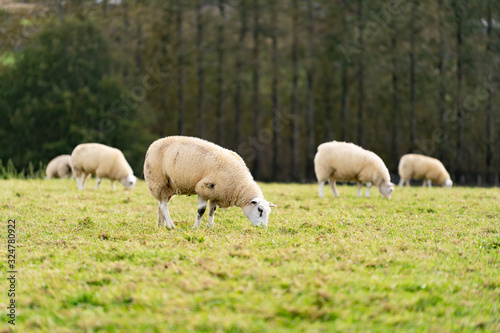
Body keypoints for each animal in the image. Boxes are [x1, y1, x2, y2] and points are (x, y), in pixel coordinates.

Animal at [144, 135, 278, 228]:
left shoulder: (216, 193)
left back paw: (161, 226)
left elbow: (212, 210)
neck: (239, 185)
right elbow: (201, 210)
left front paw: (210, 226)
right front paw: (195, 227)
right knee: (163, 206)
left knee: (160, 204)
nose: (263, 228)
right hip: (158, 182)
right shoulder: (204, 188)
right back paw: (171, 226)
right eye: (260, 210)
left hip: (167, 187)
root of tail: (154, 143)